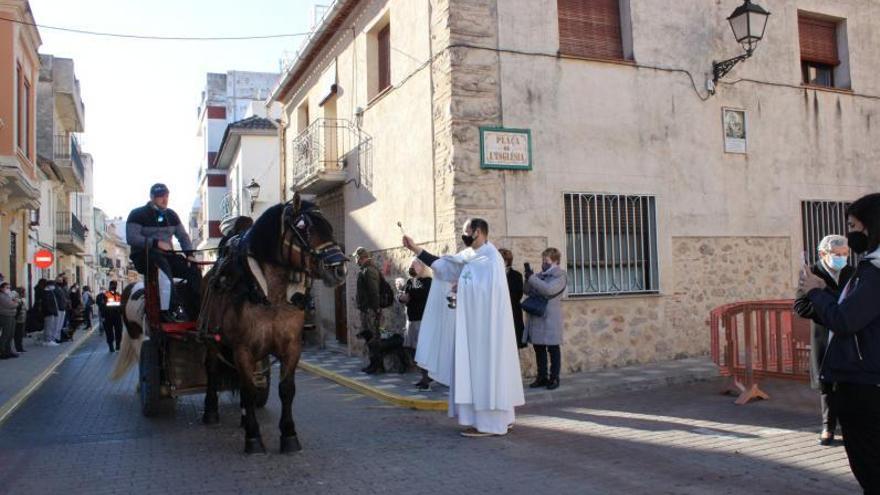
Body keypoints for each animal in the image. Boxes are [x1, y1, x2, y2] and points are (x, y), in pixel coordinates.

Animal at [199, 193, 348, 454]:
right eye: (303, 226)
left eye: (329, 227)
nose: (339, 268)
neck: (270, 296)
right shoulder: (242, 349)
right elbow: (248, 390)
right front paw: (253, 437)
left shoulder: (291, 347)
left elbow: (286, 389)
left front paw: (288, 434)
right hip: (212, 342)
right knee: (213, 371)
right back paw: (211, 411)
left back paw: (243, 417)